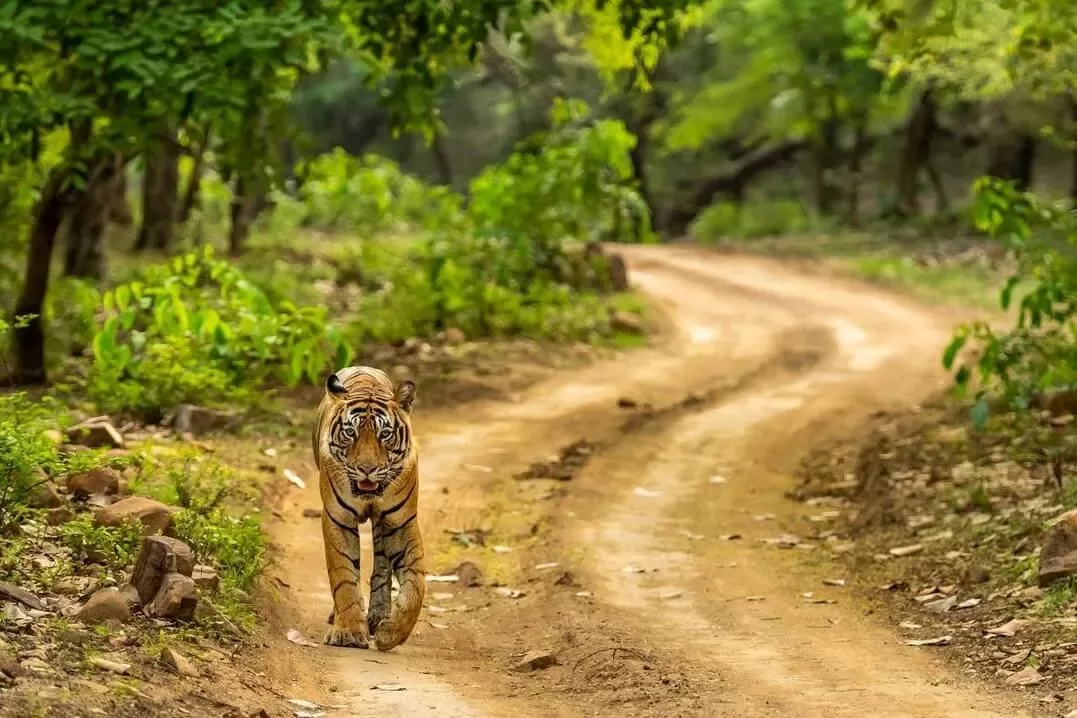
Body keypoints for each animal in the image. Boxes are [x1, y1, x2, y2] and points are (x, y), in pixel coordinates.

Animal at [312, 365, 425, 652]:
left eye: (384, 434)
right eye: (350, 433)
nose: (366, 469)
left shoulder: (401, 522)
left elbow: (416, 584)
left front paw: (391, 633)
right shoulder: (337, 519)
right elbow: (343, 576)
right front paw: (349, 632)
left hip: (384, 526)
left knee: (382, 565)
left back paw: (378, 615)